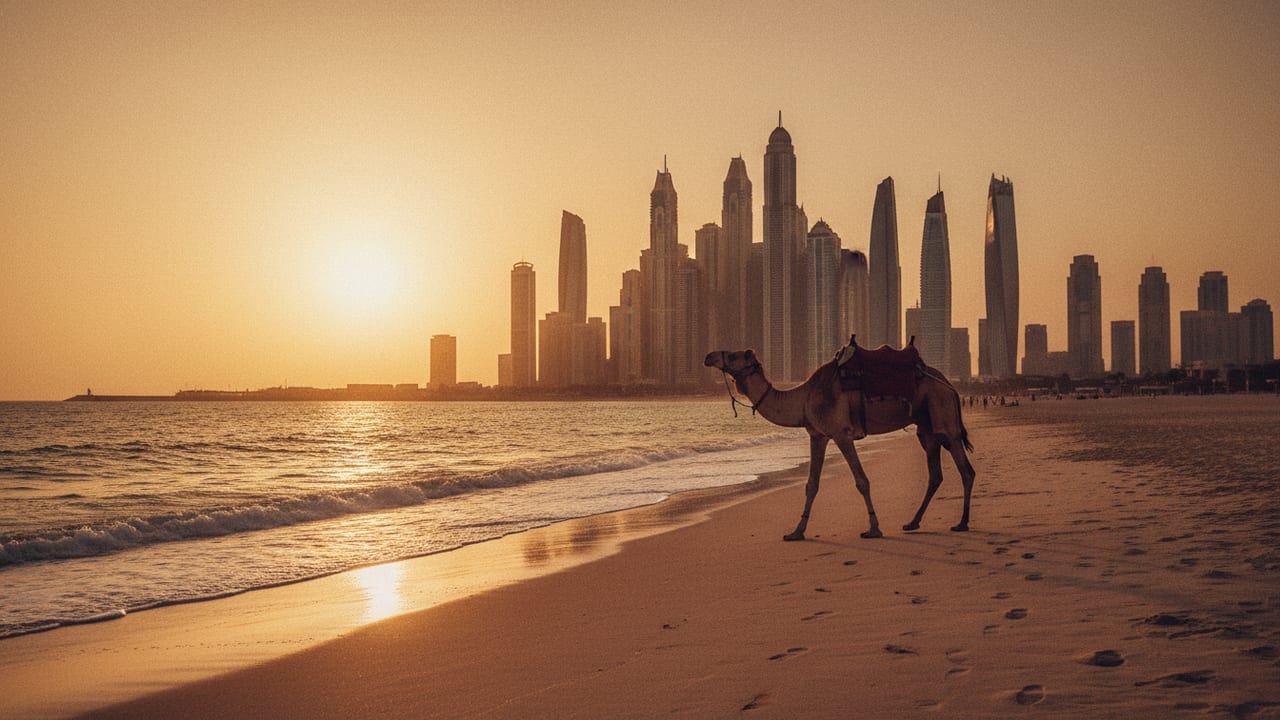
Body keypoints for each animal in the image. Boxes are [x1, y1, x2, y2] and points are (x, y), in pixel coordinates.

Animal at [704, 345, 975, 540]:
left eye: (733, 355)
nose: (708, 356)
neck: (803, 398)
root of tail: (949, 385)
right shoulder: (817, 435)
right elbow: (811, 484)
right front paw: (796, 532)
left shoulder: (841, 434)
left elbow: (862, 481)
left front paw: (873, 529)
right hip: (926, 429)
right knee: (935, 474)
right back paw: (913, 522)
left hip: (944, 417)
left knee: (966, 470)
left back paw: (961, 523)